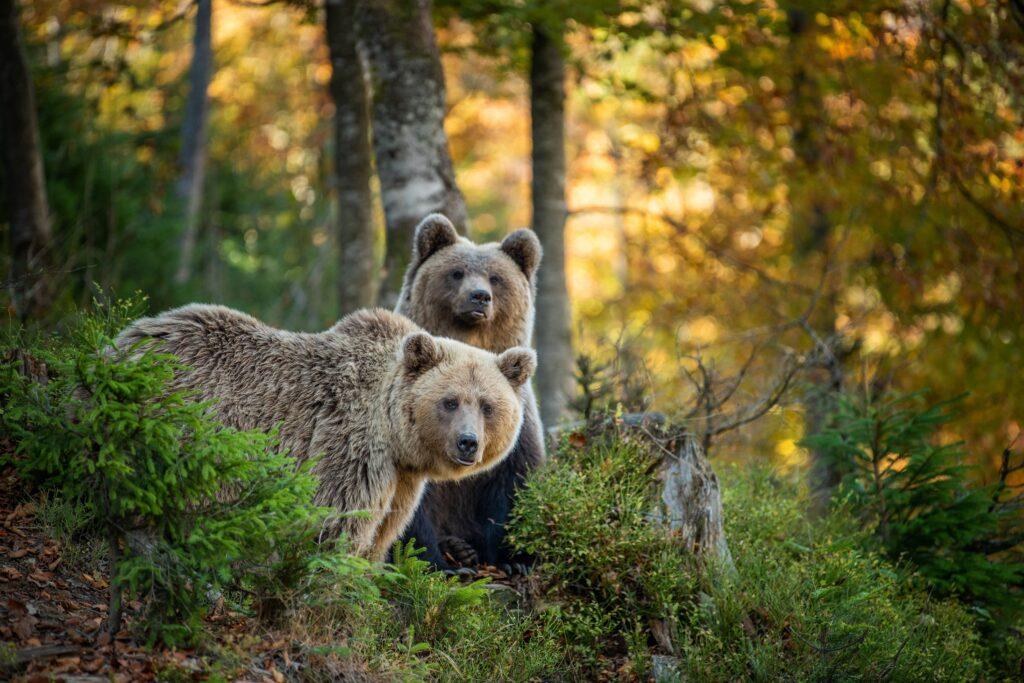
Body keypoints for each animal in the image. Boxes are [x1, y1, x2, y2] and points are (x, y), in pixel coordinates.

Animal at [115, 304, 536, 561]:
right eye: (450, 401)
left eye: (487, 405)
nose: (468, 443)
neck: (395, 434)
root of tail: (123, 343)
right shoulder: (351, 445)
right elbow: (338, 521)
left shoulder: (401, 480)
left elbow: (384, 530)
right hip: (184, 424)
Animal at [394, 213, 545, 572]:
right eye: (457, 272)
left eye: (496, 278)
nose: (479, 296)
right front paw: (435, 562)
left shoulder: (518, 421)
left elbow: (515, 482)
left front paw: (515, 559)